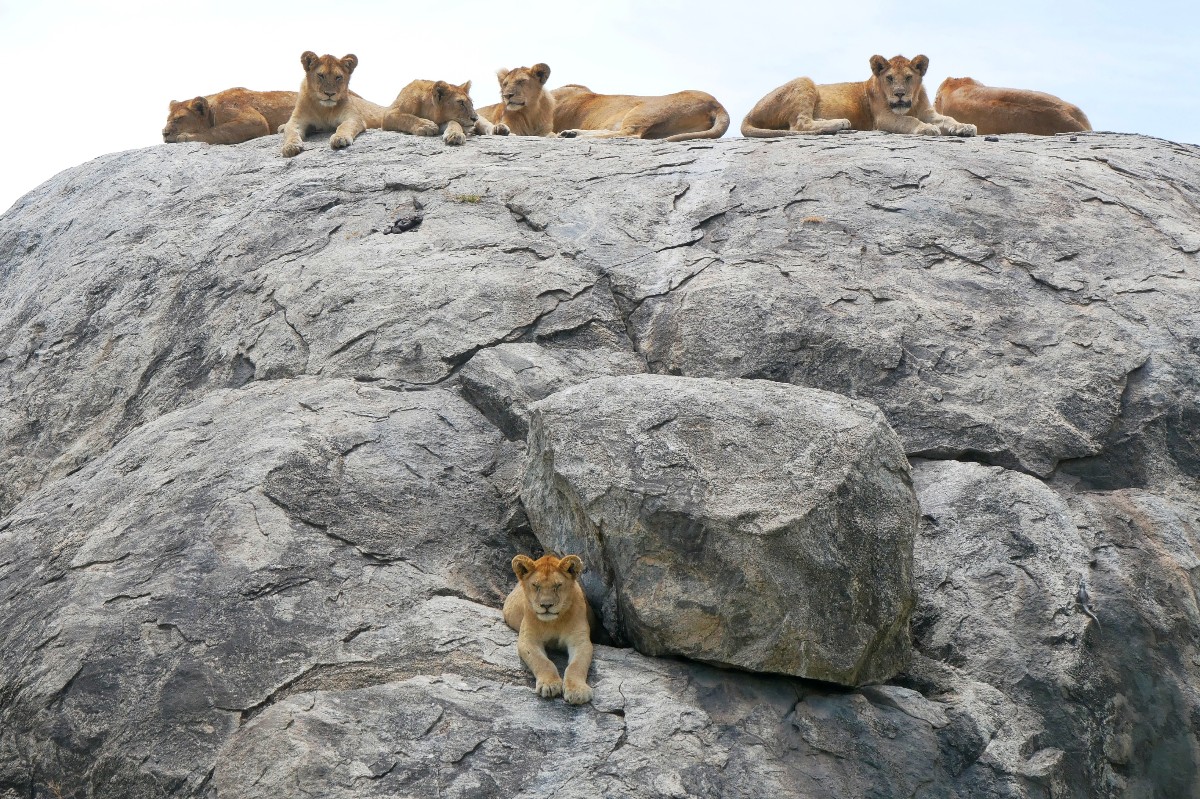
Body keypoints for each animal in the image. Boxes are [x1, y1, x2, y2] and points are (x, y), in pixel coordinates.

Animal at [160, 88, 296, 143]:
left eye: (179, 119)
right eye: (167, 120)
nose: (164, 133)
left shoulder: (256, 121)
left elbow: (217, 131)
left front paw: (185, 136)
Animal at [501, 551, 595, 700]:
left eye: (558, 585)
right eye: (536, 586)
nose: (546, 605)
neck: (553, 622)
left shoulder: (580, 641)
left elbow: (576, 666)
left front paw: (577, 691)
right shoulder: (528, 640)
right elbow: (543, 662)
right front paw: (549, 685)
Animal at [739, 54, 974, 136]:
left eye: (908, 77)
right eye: (890, 78)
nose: (899, 94)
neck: (911, 103)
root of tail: (748, 113)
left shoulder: (928, 112)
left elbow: (948, 119)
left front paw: (965, 127)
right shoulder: (882, 118)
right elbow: (909, 120)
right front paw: (927, 129)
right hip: (804, 82)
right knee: (799, 125)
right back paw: (839, 123)